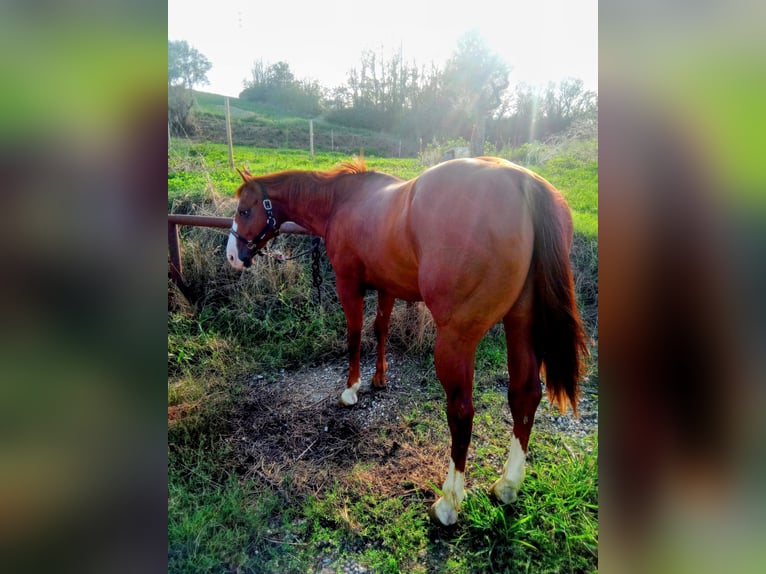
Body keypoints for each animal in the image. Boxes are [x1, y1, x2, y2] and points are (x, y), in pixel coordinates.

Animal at [226, 156, 588, 526]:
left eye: (244, 210)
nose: (232, 256)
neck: (344, 200)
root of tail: (524, 182)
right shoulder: (386, 287)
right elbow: (380, 329)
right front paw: (379, 378)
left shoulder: (349, 285)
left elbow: (355, 334)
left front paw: (351, 389)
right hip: (520, 324)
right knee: (524, 395)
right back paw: (507, 485)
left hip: (457, 339)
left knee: (462, 412)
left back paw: (448, 503)